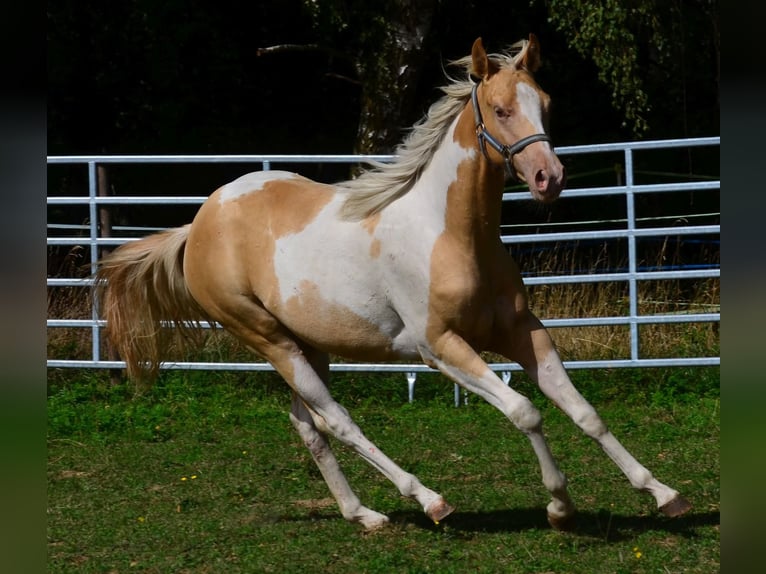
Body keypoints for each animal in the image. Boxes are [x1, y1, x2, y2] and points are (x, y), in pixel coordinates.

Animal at [95, 34, 691, 531]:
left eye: (544, 104)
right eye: (501, 109)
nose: (551, 179)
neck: (450, 231)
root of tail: (198, 225)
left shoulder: (522, 331)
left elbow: (582, 411)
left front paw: (664, 494)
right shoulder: (440, 347)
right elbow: (526, 411)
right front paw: (560, 507)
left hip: (310, 345)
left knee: (307, 424)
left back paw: (363, 515)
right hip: (267, 339)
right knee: (337, 421)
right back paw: (428, 500)